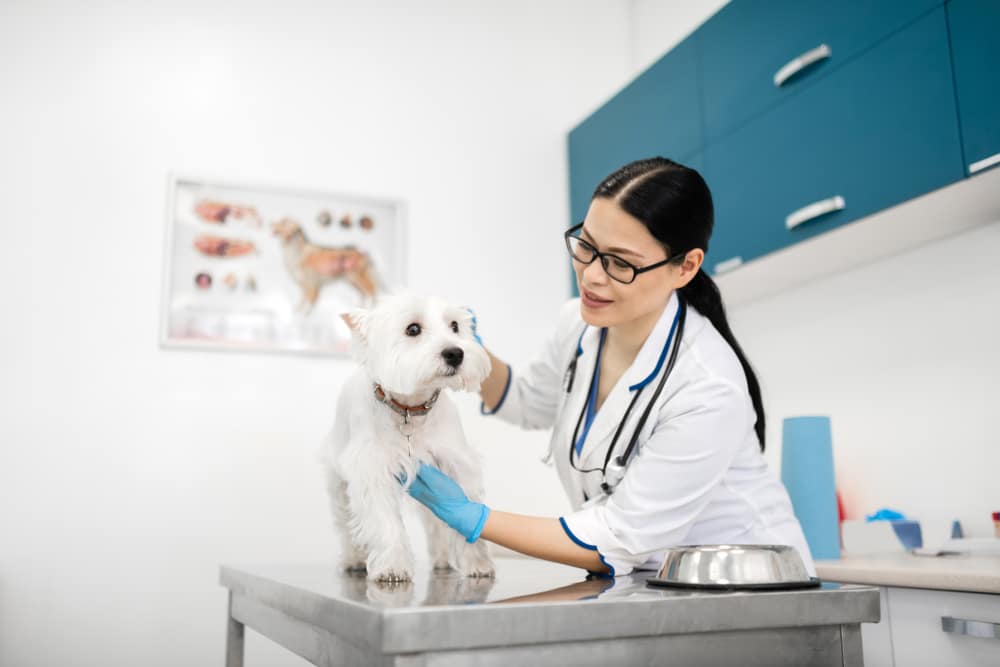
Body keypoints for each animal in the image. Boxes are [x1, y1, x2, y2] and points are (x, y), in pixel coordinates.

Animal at [324, 294, 496, 580]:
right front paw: (392, 567)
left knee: (436, 523)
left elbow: (465, 509)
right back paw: (354, 559)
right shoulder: (373, 468)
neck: (410, 410)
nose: (455, 353)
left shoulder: (455, 463)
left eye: (455, 326)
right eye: (413, 329)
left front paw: (477, 563)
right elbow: (384, 522)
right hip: (338, 481)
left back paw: (442, 559)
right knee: (346, 522)